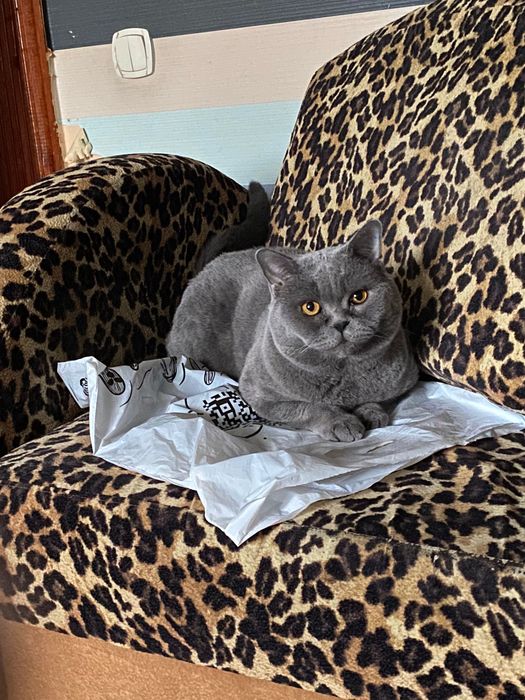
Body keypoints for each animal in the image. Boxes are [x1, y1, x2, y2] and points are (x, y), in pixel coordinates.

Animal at [167, 184, 418, 441]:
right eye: (310, 307)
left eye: (359, 296)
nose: (340, 323)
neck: (345, 373)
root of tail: (212, 262)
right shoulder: (260, 394)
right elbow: (309, 407)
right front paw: (342, 422)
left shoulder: (404, 380)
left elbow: (381, 399)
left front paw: (371, 412)